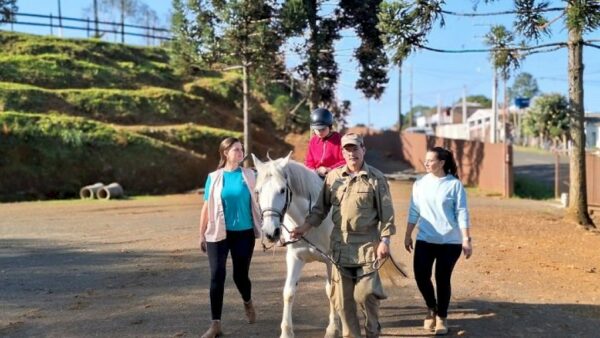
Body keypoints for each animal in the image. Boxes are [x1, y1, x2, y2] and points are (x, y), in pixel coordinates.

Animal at [251, 154, 340, 338]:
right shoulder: (295, 257)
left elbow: (331, 290)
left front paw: (333, 328)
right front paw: (286, 331)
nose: (270, 232)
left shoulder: (331, 260)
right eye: (258, 191)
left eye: (282, 190)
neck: (310, 221)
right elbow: (288, 292)